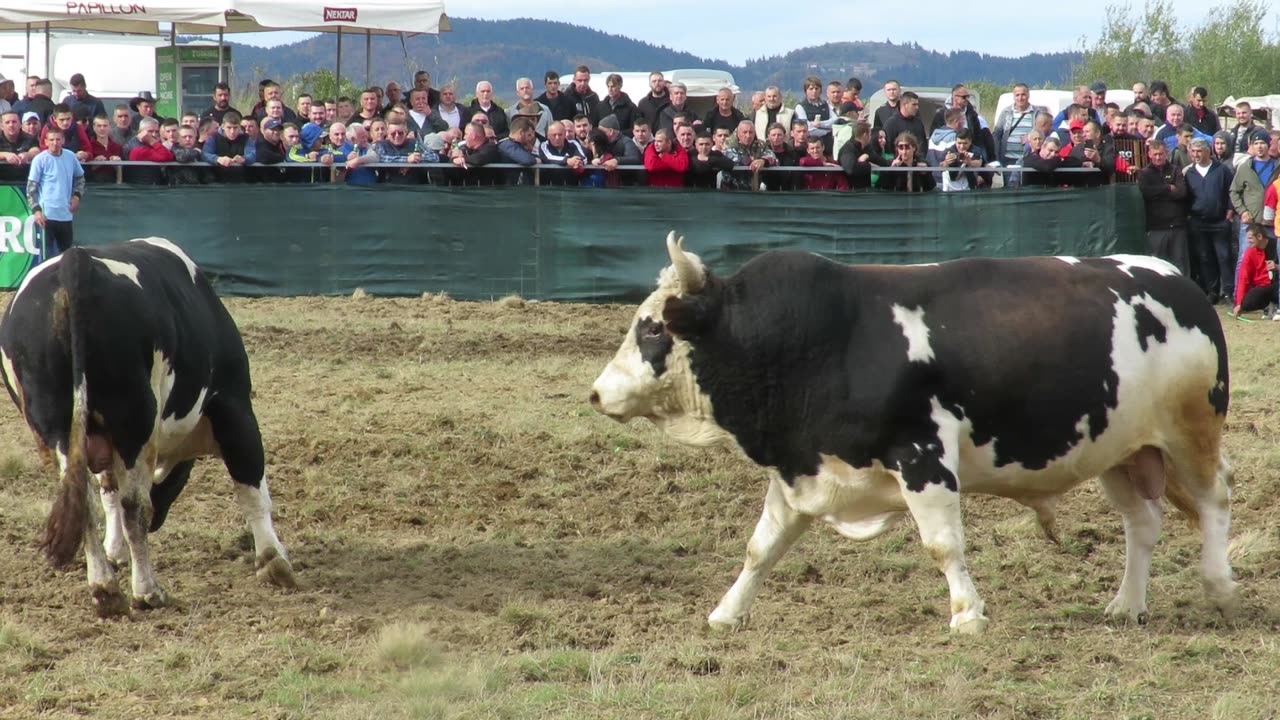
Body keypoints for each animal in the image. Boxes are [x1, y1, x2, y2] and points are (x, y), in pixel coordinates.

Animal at [1, 238, 294, 614]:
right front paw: (275, 561)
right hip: (134, 424)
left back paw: (105, 589)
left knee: (85, 502)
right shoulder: (234, 409)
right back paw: (146, 590)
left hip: (58, 428)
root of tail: (75, 262)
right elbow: (253, 489)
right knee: (134, 507)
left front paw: (114, 552)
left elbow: (107, 491)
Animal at [591, 233, 1239, 630]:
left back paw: (1219, 585)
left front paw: (968, 613)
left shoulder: (923, 455)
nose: (597, 392)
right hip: (1121, 451)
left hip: (1190, 433)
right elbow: (762, 547)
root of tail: (1177, 280)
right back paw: (1127, 605)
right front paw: (727, 612)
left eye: (653, 329)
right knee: (1143, 523)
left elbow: (942, 544)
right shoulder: (800, 468)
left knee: (1215, 499)